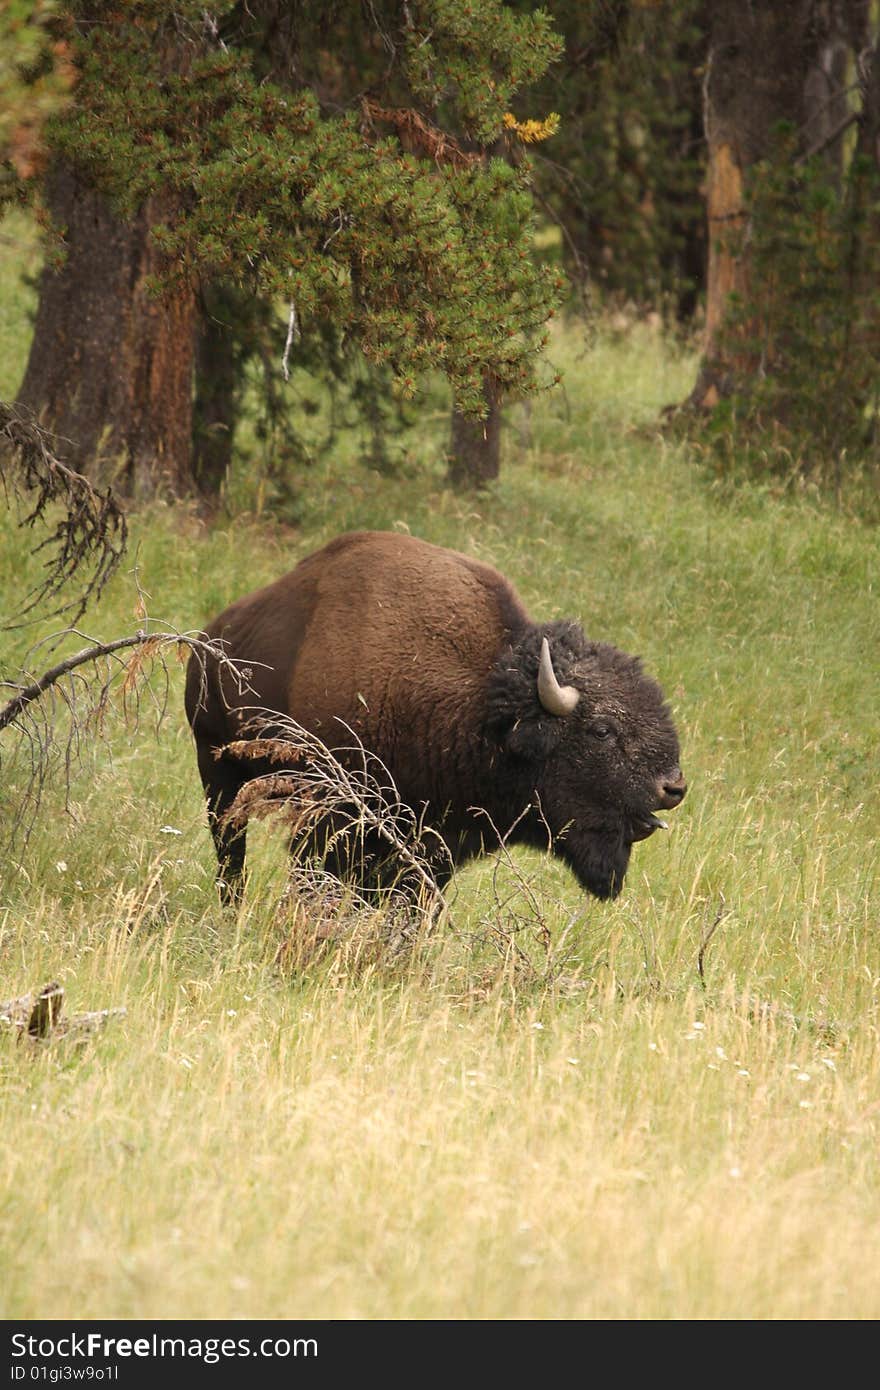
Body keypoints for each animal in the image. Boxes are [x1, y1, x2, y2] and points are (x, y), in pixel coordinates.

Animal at [182, 528, 683, 900]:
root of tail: (209, 640)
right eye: (601, 730)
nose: (673, 787)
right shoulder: (332, 820)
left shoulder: (431, 845)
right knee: (231, 857)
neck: (479, 702)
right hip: (217, 774)